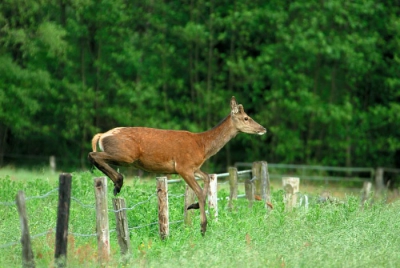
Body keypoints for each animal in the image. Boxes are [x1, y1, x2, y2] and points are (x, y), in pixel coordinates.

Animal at [87, 96, 266, 234]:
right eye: (246, 118)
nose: (263, 128)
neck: (202, 146)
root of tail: (102, 135)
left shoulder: (194, 167)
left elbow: (207, 179)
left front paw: (193, 206)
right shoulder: (183, 166)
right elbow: (200, 192)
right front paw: (203, 226)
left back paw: (117, 183)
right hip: (125, 155)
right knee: (93, 154)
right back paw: (118, 182)